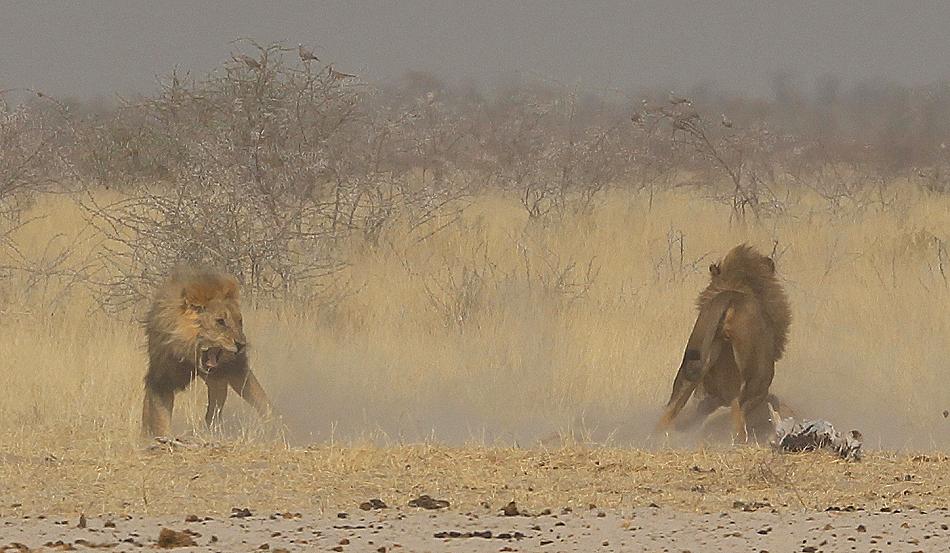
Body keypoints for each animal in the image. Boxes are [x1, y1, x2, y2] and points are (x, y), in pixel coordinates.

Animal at [143, 270, 274, 438]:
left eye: (240, 321)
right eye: (220, 321)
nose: (241, 344)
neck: (189, 354)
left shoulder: (229, 371)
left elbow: (259, 398)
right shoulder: (162, 380)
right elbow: (159, 417)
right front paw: (161, 437)